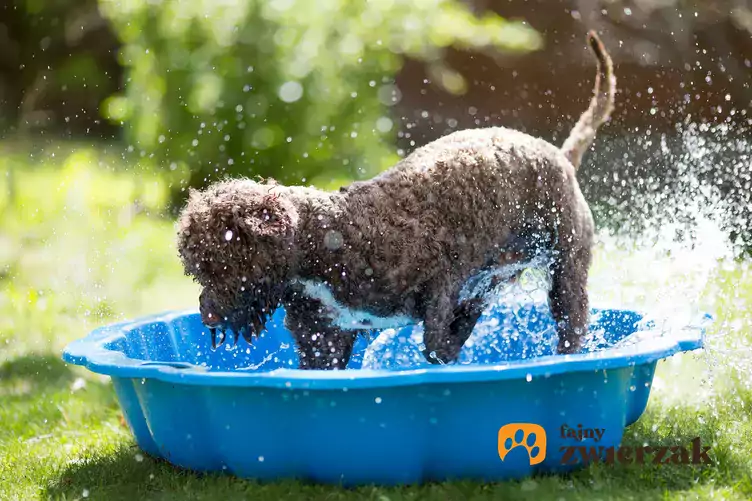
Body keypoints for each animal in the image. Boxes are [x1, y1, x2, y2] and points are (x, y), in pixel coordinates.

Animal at [178, 31, 616, 368]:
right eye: (196, 271)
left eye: (222, 262)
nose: (207, 314)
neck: (324, 239)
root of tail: (560, 155)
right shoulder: (323, 339)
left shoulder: (442, 285)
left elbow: (440, 344)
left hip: (566, 270)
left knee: (571, 325)